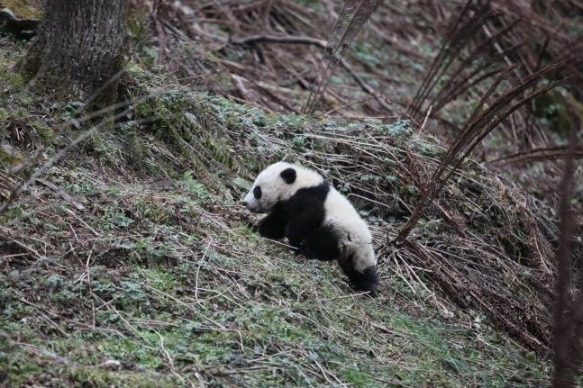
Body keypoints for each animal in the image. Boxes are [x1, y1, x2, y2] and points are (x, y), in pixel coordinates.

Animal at [242, 162, 378, 296]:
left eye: (257, 190)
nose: (245, 203)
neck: (298, 185)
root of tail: (362, 248)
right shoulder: (286, 205)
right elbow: (277, 222)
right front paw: (254, 226)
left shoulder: (310, 201)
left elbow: (299, 224)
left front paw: (292, 243)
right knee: (358, 272)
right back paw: (367, 287)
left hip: (341, 232)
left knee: (324, 244)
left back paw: (307, 251)